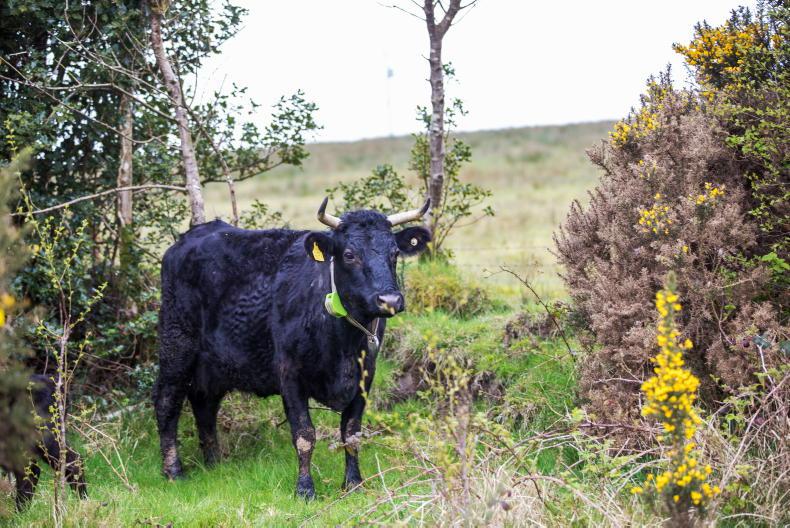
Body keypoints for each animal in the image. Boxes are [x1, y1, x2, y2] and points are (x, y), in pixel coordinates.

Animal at [155, 199, 434, 500]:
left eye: (394, 253)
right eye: (349, 254)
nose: (390, 300)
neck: (343, 345)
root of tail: (186, 239)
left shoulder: (365, 375)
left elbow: (351, 433)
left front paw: (353, 483)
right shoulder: (289, 374)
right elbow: (304, 435)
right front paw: (305, 489)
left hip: (215, 364)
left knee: (205, 405)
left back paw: (215, 464)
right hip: (176, 346)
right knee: (167, 403)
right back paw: (173, 471)